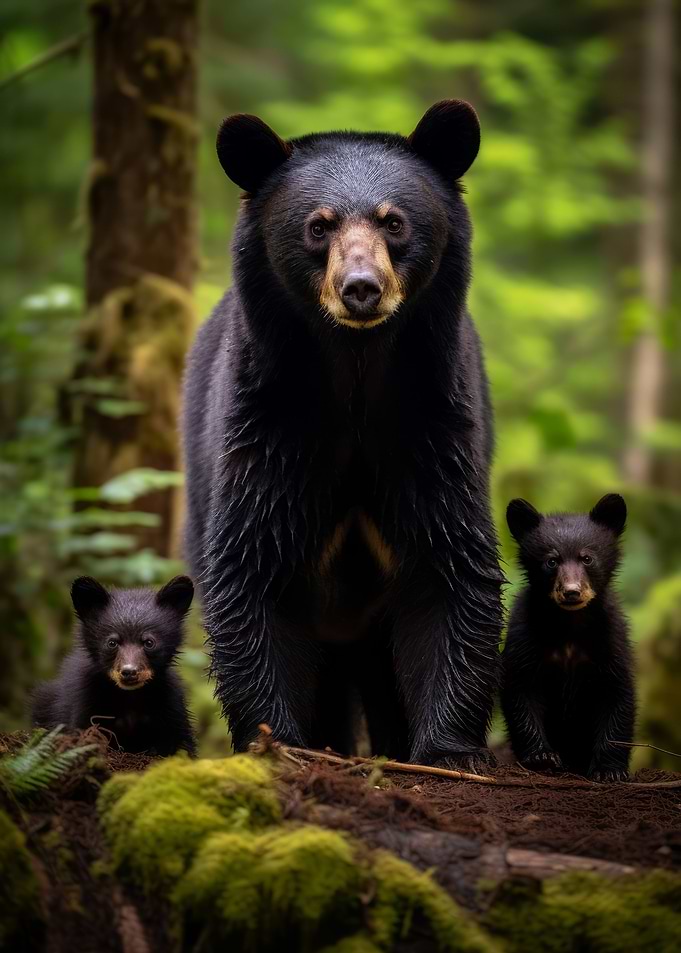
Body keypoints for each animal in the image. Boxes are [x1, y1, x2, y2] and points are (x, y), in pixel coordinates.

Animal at [31, 575, 197, 757]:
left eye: (149, 642)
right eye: (112, 643)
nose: (129, 672)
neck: (130, 698)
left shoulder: (170, 704)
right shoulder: (86, 699)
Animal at [182, 100, 504, 770]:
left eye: (394, 221)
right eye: (318, 226)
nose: (361, 288)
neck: (355, 377)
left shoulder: (431, 422)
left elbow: (450, 565)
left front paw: (449, 749)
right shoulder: (269, 422)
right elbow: (252, 568)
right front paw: (276, 740)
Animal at [501, 493, 635, 781]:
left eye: (587, 558)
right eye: (551, 561)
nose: (571, 592)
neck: (569, 626)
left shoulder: (611, 639)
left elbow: (618, 695)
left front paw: (609, 770)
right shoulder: (524, 637)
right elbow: (521, 691)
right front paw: (542, 757)